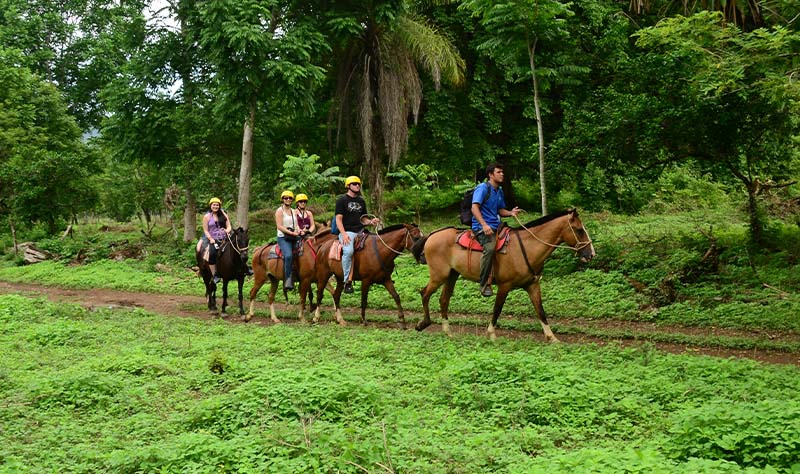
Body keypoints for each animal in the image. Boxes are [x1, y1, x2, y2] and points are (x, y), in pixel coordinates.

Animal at [412, 208, 592, 340]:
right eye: (579, 230)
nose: (591, 254)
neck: (527, 247)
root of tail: (432, 235)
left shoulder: (533, 285)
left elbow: (540, 310)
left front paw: (552, 337)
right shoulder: (504, 286)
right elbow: (497, 308)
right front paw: (491, 334)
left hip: (452, 275)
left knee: (444, 299)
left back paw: (447, 331)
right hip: (439, 275)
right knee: (425, 293)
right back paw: (423, 323)